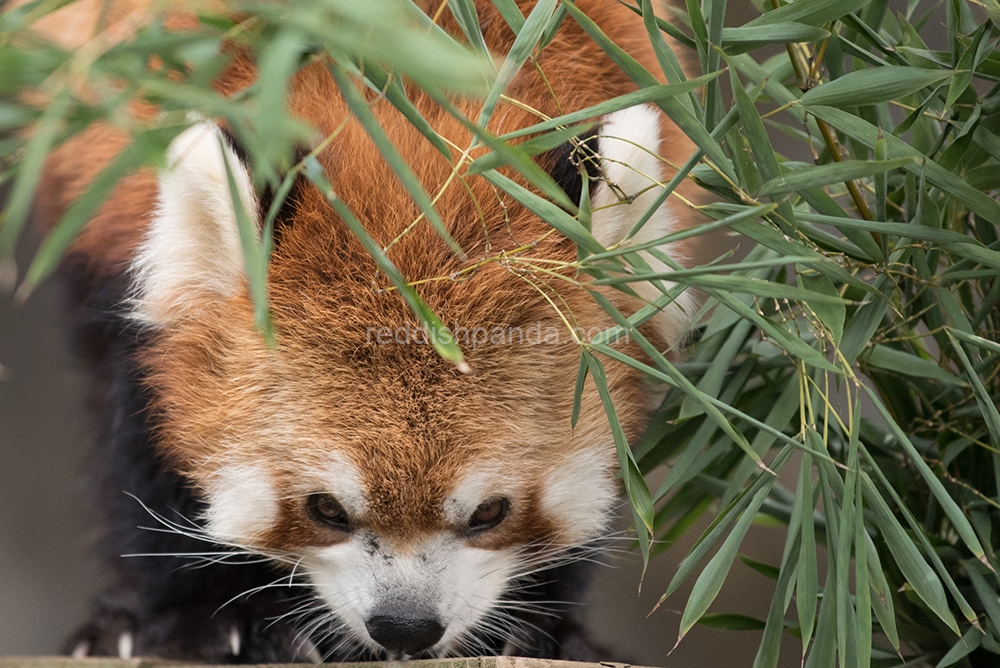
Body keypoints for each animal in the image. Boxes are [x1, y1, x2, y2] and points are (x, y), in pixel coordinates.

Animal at [33, 0, 704, 660]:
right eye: (326, 509)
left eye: (490, 512)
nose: (405, 627)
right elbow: (139, 441)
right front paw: (201, 620)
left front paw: (546, 626)